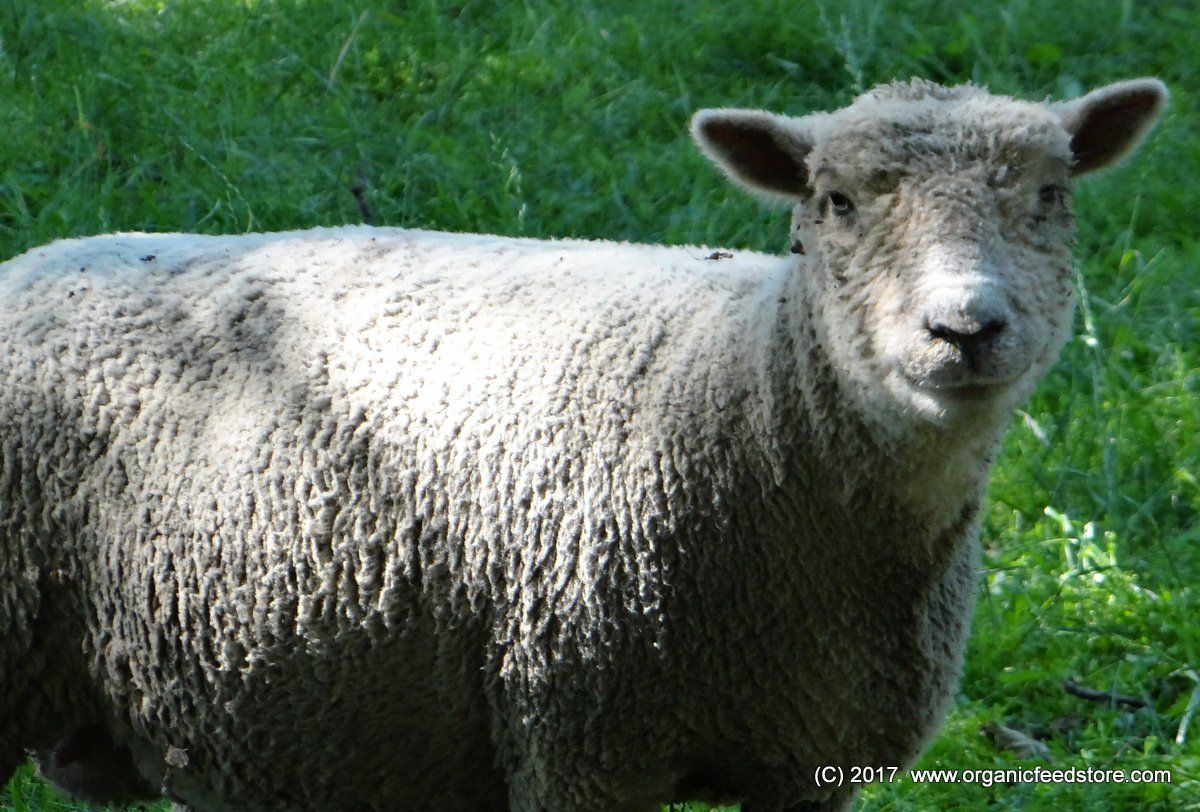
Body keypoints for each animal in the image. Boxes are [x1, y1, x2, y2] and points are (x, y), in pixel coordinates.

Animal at [0, 77, 1166, 811]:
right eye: (832, 202)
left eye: (1052, 197)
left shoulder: (813, 763)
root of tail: (33, 261)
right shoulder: (579, 741)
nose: (965, 329)